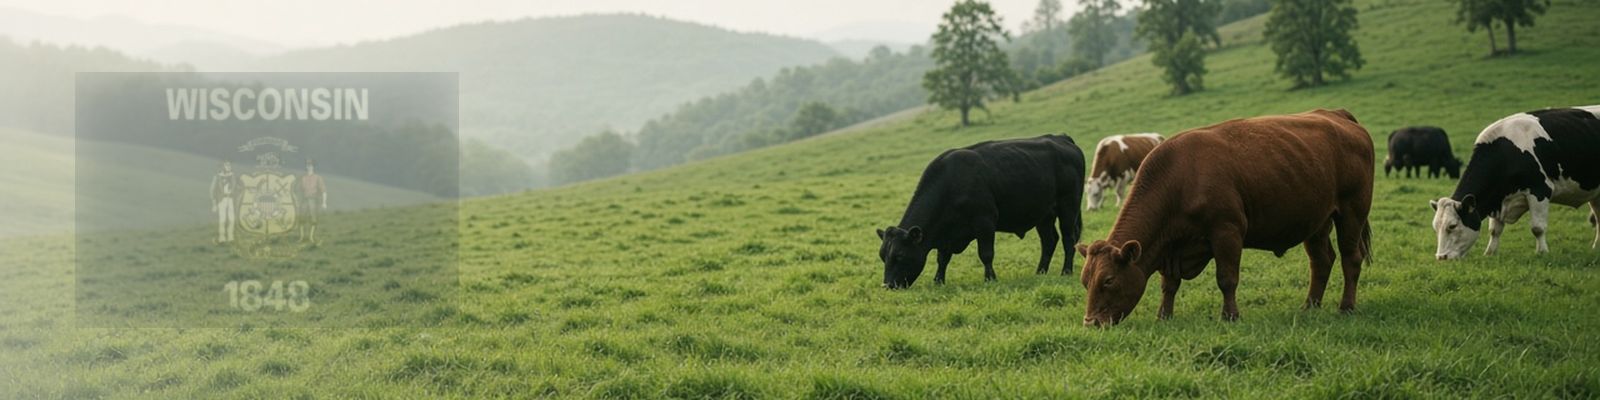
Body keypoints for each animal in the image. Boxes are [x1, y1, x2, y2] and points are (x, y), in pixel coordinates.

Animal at [876, 134, 1086, 289]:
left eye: (900, 256)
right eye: (882, 256)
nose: (887, 286)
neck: (951, 183)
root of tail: (1061, 138)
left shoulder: (985, 222)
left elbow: (986, 253)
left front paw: (990, 279)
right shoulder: (946, 232)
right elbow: (942, 258)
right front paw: (938, 281)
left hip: (1069, 206)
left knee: (1069, 239)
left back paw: (1066, 271)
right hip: (1044, 214)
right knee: (1049, 240)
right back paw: (1040, 272)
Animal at [1074, 109, 1373, 326]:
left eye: (1108, 280)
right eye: (1085, 280)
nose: (1091, 323)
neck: (1180, 178)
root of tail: (1337, 115)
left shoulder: (1226, 233)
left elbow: (1226, 278)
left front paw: (1230, 316)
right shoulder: (1170, 247)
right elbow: (1169, 285)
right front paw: (1164, 316)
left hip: (1351, 213)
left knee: (1350, 258)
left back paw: (1346, 306)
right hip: (1317, 221)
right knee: (1321, 261)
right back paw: (1310, 306)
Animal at [1430, 106, 1600, 260]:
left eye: (1452, 226)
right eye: (1435, 227)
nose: (1441, 257)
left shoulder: (1540, 191)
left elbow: (1537, 228)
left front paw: (1542, 252)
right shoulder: (1497, 200)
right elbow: (1494, 230)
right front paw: (1490, 253)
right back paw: (1596, 247)